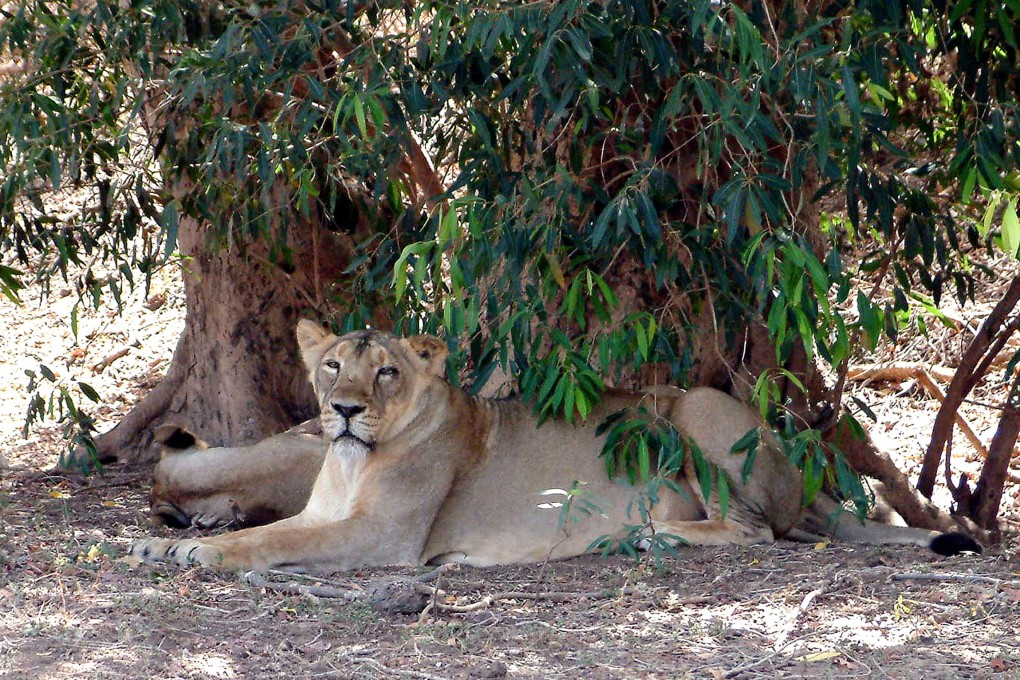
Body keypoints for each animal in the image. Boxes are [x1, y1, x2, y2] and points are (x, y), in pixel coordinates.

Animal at [131, 321, 980, 572]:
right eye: (333, 366)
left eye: (387, 372)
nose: (341, 410)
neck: (350, 461)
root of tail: (813, 485)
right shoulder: (328, 513)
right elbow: (274, 528)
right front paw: (157, 546)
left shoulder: (385, 539)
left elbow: (269, 543)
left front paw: (199, 552)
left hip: (696, 408)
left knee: (755, 531)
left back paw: (645, 536)